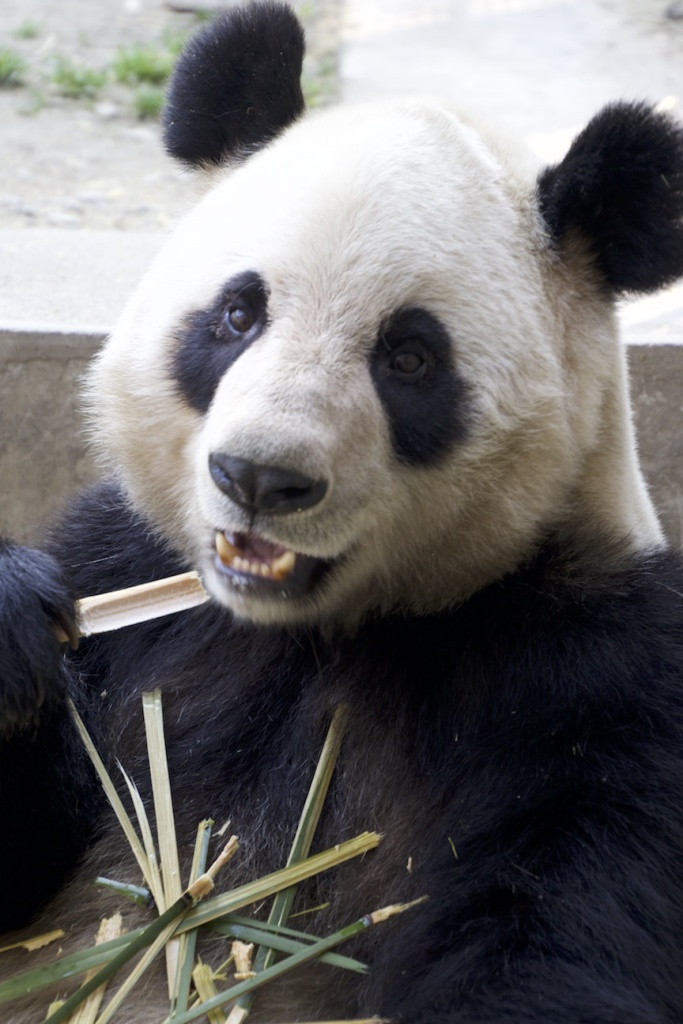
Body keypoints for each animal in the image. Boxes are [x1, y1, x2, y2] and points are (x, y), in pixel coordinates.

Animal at [1, 0, 683, 1019]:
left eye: (408, 356)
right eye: (237, 314)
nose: (257, 476)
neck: (309, 635)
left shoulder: (597, 678)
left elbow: (561, 939)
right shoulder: (125, 578)